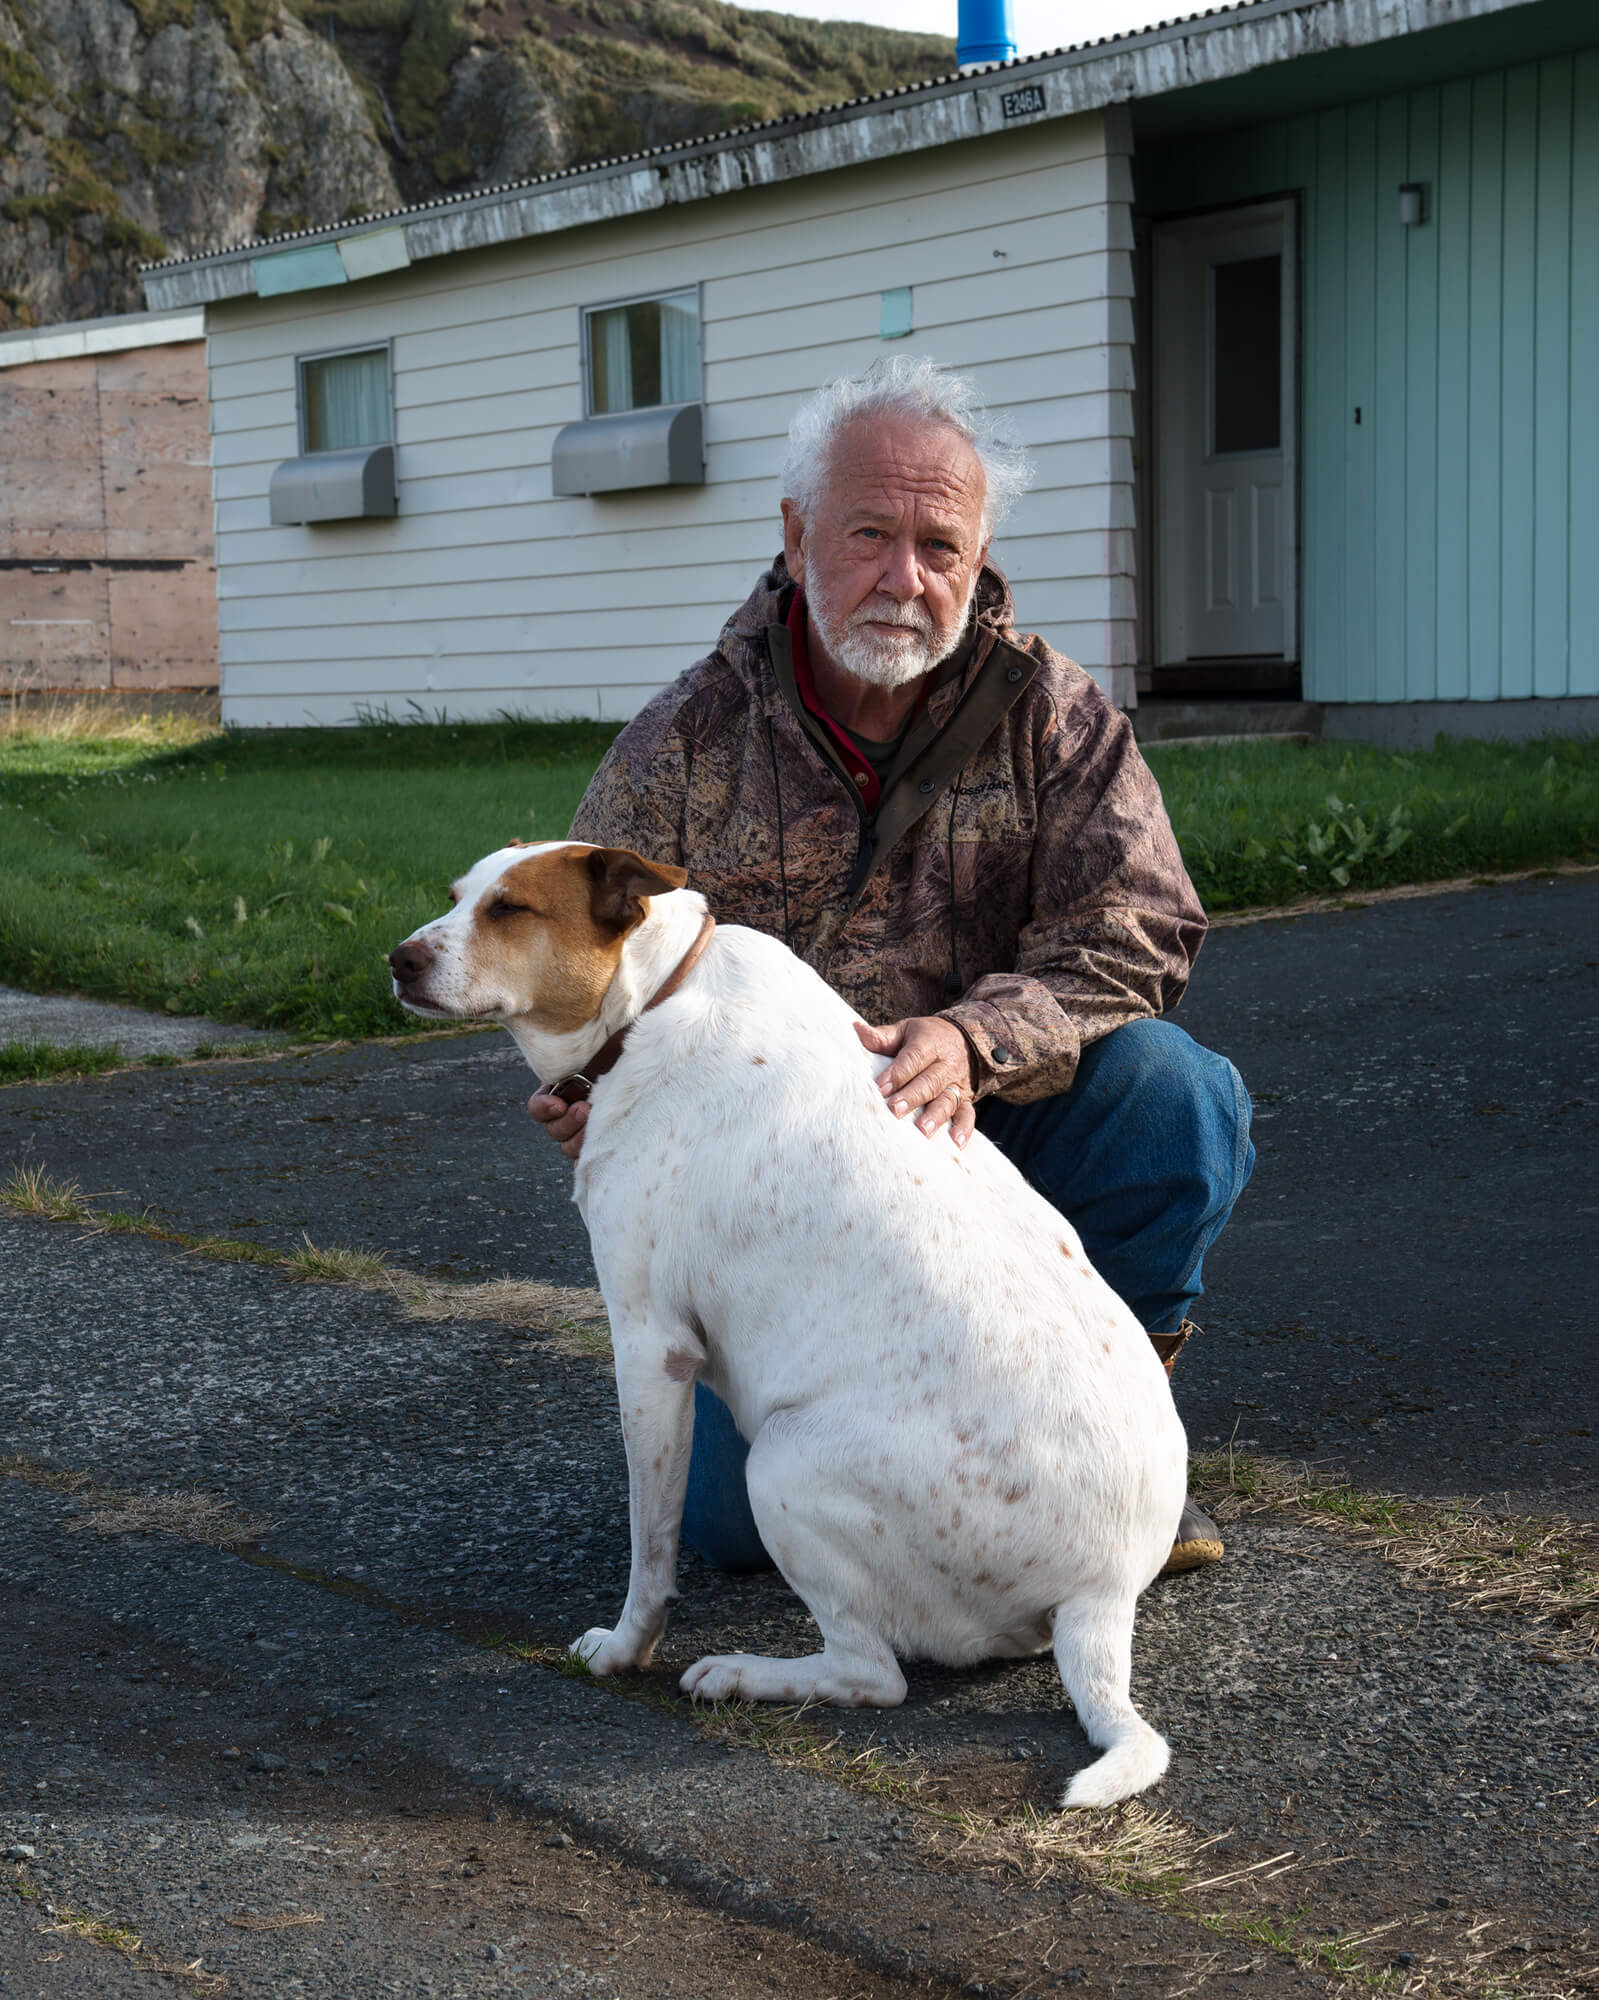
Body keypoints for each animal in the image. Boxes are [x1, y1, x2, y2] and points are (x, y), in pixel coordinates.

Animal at [389, 836, 1183, 1808]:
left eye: (510, 910)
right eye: (456, 896)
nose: (398, 960)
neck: (653, 997)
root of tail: (1102, 1596)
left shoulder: (649, 1349)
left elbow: (649, 1552)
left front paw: (624, 1649)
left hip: (780, 1461)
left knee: (873, 1674)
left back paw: (742, 1673)